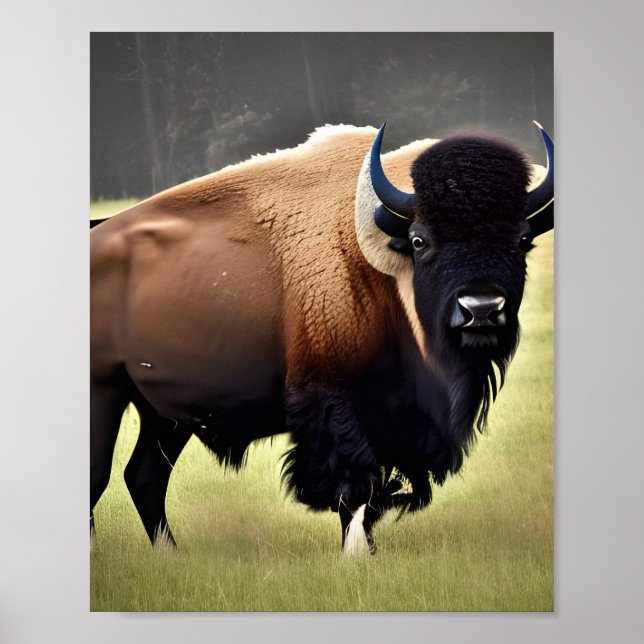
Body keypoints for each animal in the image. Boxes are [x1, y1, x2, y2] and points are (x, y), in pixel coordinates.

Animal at [90, 122, 554, 554]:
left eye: (523, 239)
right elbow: (355, 485)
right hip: (106, 392)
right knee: (101, 474)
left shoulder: (393, 417)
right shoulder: (334, 399)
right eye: (420, 239)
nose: (481, 309)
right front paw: (356, 557)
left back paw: (171, 555)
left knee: (145, 475)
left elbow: (376, 488)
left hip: (163, 412)